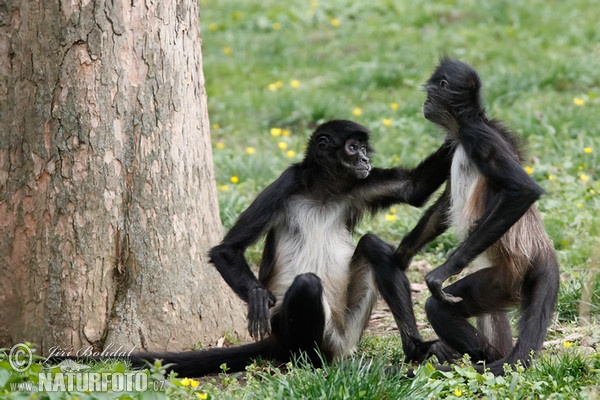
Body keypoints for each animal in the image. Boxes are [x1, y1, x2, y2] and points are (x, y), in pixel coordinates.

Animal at [396, 58, 560, 376]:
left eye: (430, 92)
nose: (424, 105)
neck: (466, 127)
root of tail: (543, 248)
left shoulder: (478, 137)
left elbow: (524, 190)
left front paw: (440, 273)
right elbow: (445, 203)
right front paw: (403, 253)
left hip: (504, 280)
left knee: (437, 306)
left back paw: (481, 359)